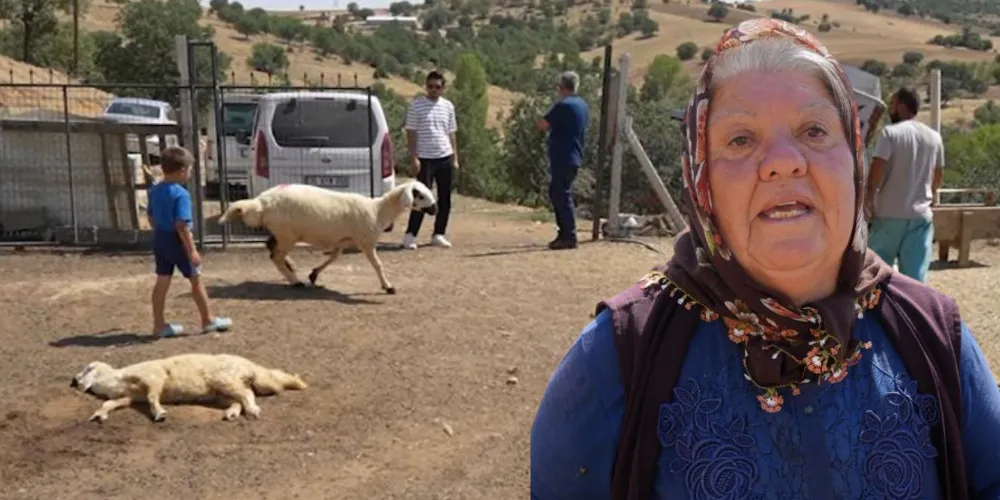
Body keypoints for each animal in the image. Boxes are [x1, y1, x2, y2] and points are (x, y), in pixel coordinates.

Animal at [70, 353, 307, 423]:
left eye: (87, 369)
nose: (73, 380)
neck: (116, 379)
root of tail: (249, 364)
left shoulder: (153, 378)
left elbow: (153, 397)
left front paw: (159, 414)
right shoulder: (129, 398)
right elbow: (110, 403)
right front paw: (99, 414)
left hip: (225, 379)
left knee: (247, 395)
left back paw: (252, 410)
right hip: (221, 392)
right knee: (237, 401)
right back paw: (231, 413)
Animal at [216, 180, 437, 294]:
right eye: (420, 195)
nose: (435, 209)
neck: (378, 210)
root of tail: (261, 202)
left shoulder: (343, 240)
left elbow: (333, 258)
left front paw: (314, 274)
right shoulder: (365, 241)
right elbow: (377, 265)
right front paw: (388, 286)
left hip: (281, 233)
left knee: (271, 247)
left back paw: (292, 268)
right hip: (287, 233)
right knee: (275, 255)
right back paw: (294, 280)